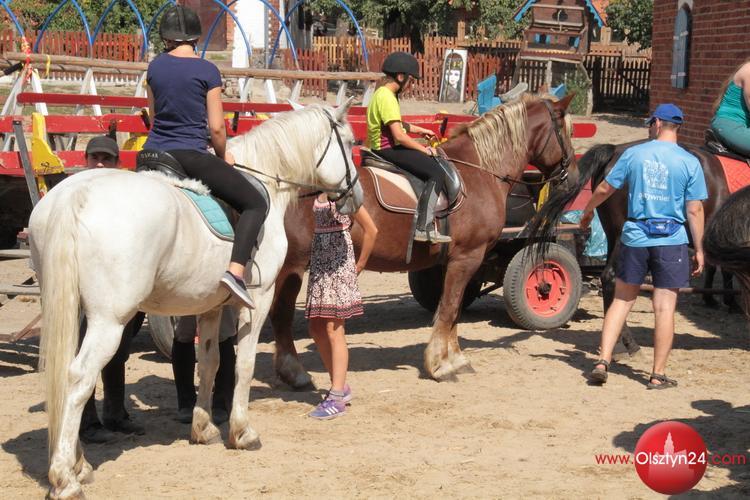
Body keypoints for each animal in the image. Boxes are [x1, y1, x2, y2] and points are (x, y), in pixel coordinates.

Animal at [29, 101, 362, 499]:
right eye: (350, 142)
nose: (356, 197)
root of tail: (75, 195)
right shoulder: (259, 299)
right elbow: (244, 363)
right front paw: (242, 432)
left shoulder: (211, 306)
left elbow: (209, 362)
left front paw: (203, 428)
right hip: (110, 320)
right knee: (79, 376)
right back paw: (64, 477)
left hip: (73, 309)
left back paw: (80, 464)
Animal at [269, 93, 584, 387]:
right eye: (564, 130)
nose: (574, 178)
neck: (478, 171)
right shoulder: (467, 257)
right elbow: (449, 309)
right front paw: (440, 366)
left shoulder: (455, 261)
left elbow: (452, 309)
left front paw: (455, 359)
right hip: (292, 265)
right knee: (281, 315)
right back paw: (294, 372)